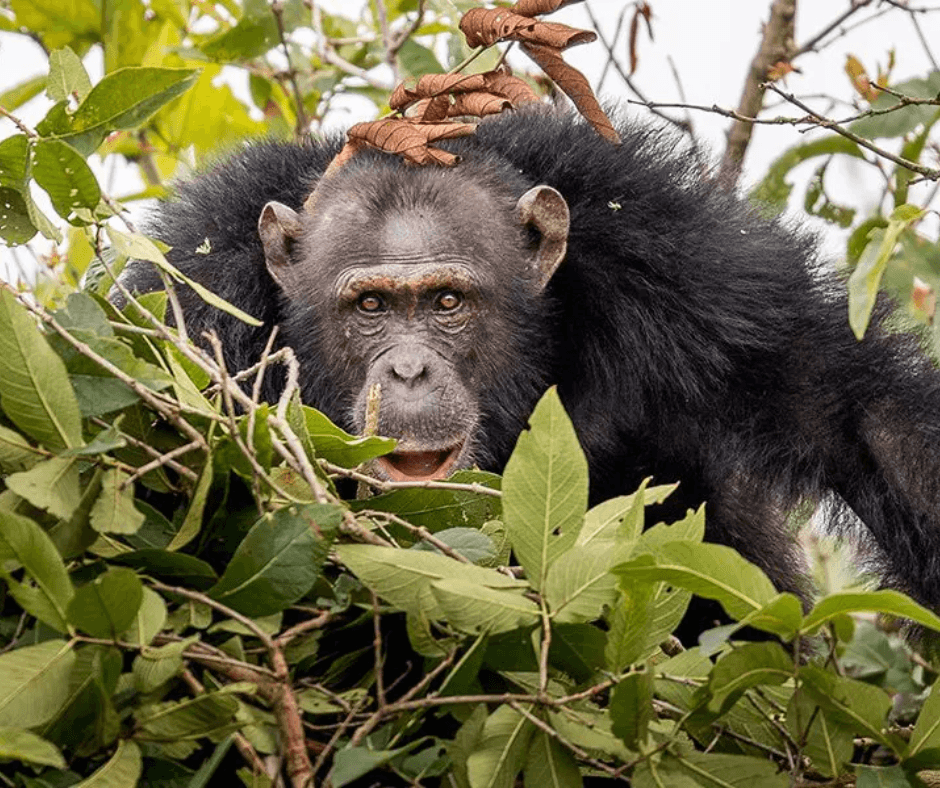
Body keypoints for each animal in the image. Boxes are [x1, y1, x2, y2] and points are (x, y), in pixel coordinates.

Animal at [117, 105, 940, 624]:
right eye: (371, 306)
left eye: (448, 301)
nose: (408, 371)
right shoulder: (190, 302)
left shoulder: (691, 273)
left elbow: (851, 414)